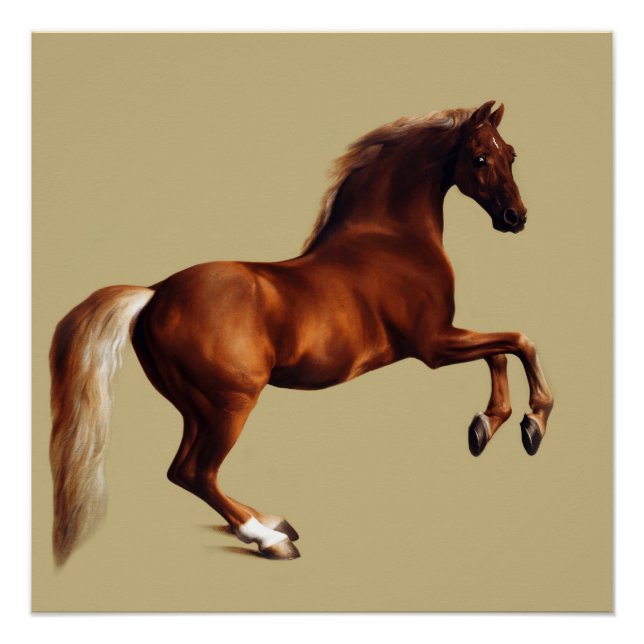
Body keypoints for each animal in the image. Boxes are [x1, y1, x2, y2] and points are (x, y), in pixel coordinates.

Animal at [49, 100, 553, 565]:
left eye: (511, 153)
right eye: (480, 158)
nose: (516, 217)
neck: (392, 240)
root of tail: (154, 293)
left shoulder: (445, 339)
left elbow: (501, 351)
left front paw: (484, 427)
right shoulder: (434, 344)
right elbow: (519, 342)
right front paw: (532, 424)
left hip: (196, 409)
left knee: (185, 472)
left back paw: (271, 523)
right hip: (230, 405)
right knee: (195, 472)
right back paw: (269, 539)